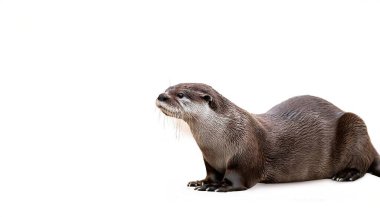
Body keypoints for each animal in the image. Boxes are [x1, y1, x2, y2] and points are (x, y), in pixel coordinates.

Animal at [155, 83, 380, 192]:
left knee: (363, 162)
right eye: (168, 89)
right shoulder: (210, 161)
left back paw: (346, 174)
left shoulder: (246, 152)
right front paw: (201, 182)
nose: (161, 96)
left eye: (181, 94)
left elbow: (239, 178)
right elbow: (210, 173)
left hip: (355, 126)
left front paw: (218, 186)